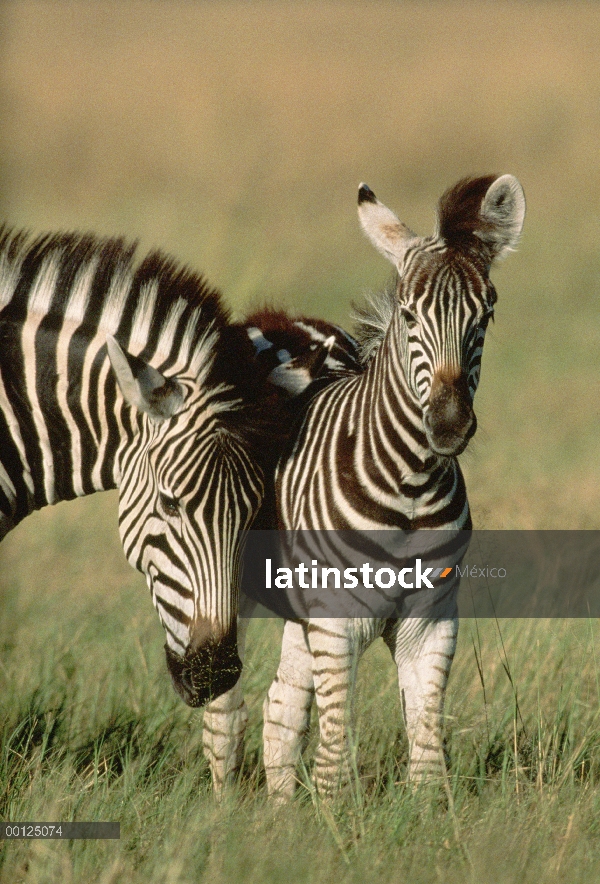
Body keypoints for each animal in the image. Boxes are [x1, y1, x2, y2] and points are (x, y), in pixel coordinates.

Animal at [253, 176, 524, 796]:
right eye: (407, 315)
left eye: (486, 315)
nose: (448, 424)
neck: (410, 486)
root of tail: (274, 318)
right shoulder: (335, 618)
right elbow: (333, 750)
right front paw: (335, 817)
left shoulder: (431, 618)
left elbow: (426, 743)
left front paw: (425, 813)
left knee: (281, 704)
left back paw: (275, 813)